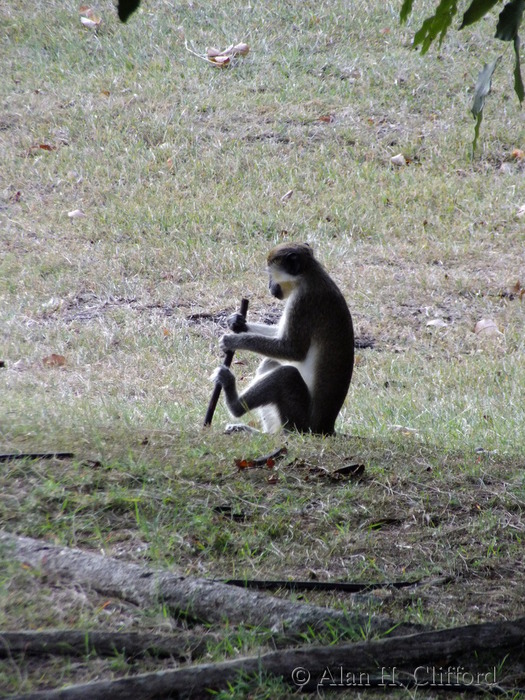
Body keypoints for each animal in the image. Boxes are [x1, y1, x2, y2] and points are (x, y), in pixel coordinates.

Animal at [211, 242, 354, 435]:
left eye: (271, 274)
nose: (269, 285)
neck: (308, 275)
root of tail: (325, 428)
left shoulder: (302, 303)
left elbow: (293, 350)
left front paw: (234, 341)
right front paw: (238, 323)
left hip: (301, 423)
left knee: (287, 375)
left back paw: (235, 405)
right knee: (272, 362)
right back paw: (264, 434)